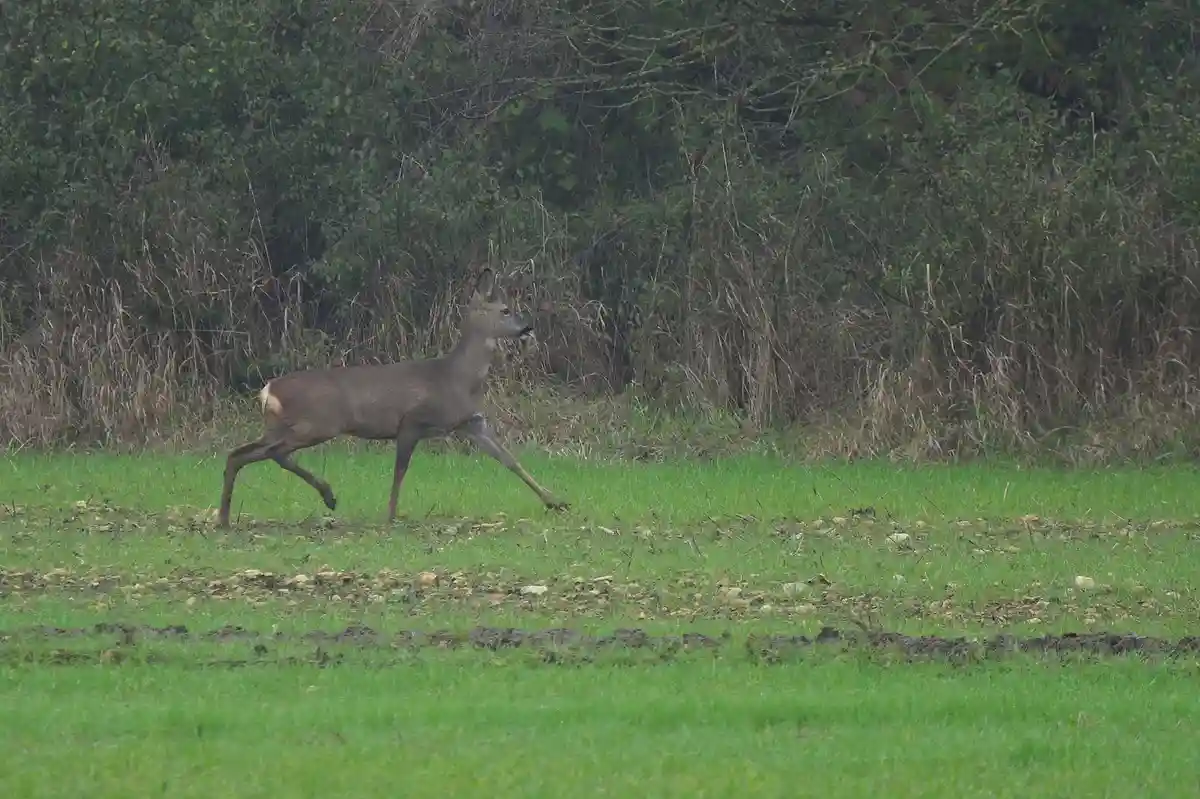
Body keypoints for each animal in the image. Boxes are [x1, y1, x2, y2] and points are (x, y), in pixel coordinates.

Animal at [217, 268, 569, 528]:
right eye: (506, 310)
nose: (529, 327)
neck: (457, 378)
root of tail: (268, 390)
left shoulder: (470, 422)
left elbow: (510, 460)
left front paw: (556, 502)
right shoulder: (411, 421)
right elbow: (400, 469)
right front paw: (390, 515)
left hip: (284, 426)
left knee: (242, 454)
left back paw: (227, 518)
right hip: (317, 423)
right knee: (266, 453)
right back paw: (322, 497)